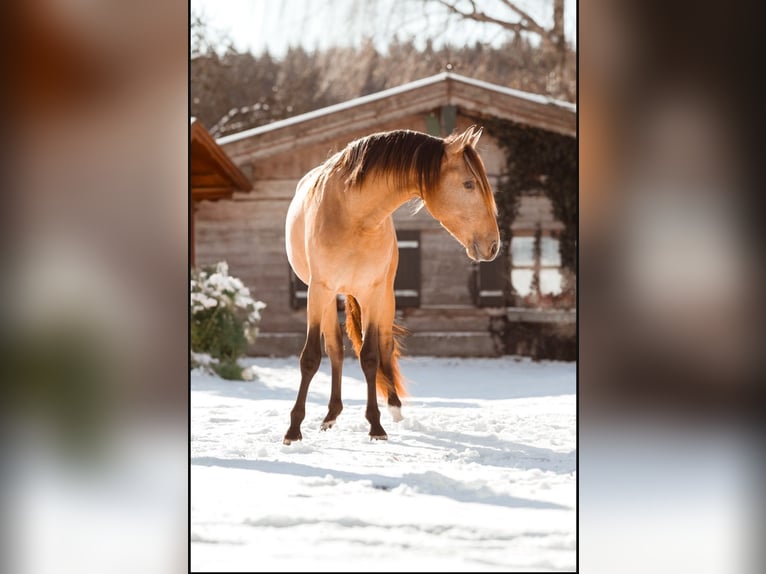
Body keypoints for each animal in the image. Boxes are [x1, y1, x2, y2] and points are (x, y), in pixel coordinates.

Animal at [284, 125, 500, 446]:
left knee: (384, 346)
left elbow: (371, 356)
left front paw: (376, 425)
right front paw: (293, 430)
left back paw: (393, 408)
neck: (354, 216)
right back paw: (331, 414)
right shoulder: (318, 290)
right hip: (330, 297)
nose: (493, 245)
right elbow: (311, 357)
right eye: (469, 184)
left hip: (384, 298)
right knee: (335, 349)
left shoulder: (373, 293)